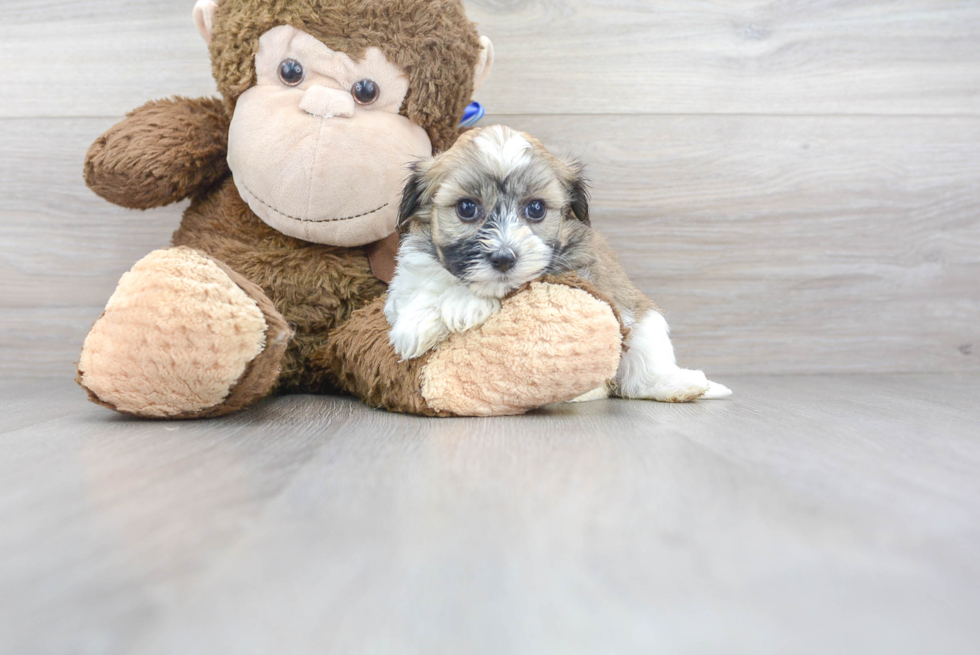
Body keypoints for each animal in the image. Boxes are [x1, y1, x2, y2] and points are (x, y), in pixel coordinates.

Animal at [386, 122, 732, 400]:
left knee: (641, 372)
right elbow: (418, 284)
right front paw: (417, 323)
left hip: (645, 323)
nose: (503, 258)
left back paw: (684, 385)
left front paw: (461, 304)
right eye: (467, 208)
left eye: (536, 209)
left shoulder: (575, 269)